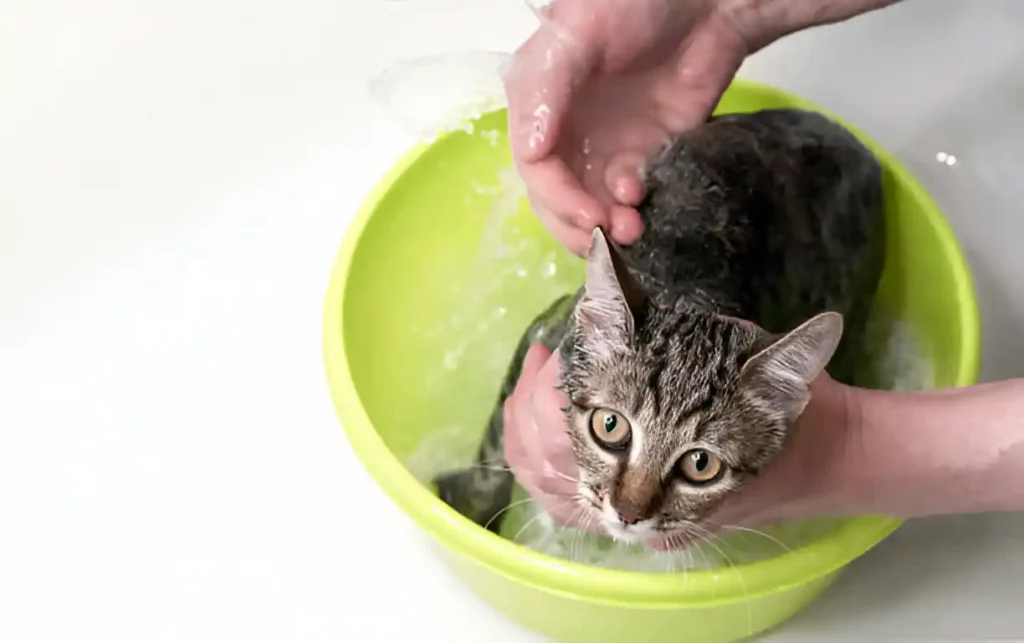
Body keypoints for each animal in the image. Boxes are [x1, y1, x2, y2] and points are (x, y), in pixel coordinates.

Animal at [430, 109, 880, 540]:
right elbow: (492, 453)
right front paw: (470, 506)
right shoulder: (542, 333)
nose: (629, 513)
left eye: (700, 464)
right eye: (611, 427)